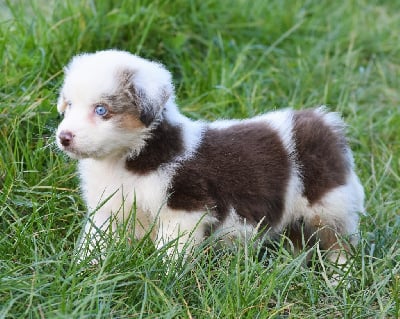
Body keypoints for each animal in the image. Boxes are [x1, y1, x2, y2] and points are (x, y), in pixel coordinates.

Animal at [56, 49, 366, 264]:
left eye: (101, 110)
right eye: (68, 105)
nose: (63, 137)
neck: (126, 160)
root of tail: (324, 122)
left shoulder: (185, 208)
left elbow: (171, 248)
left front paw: (160, 275)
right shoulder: (107, 208)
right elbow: (94, 240)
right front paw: (82, 269)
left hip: (327, 204)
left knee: (339, 242)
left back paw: (340, 277)